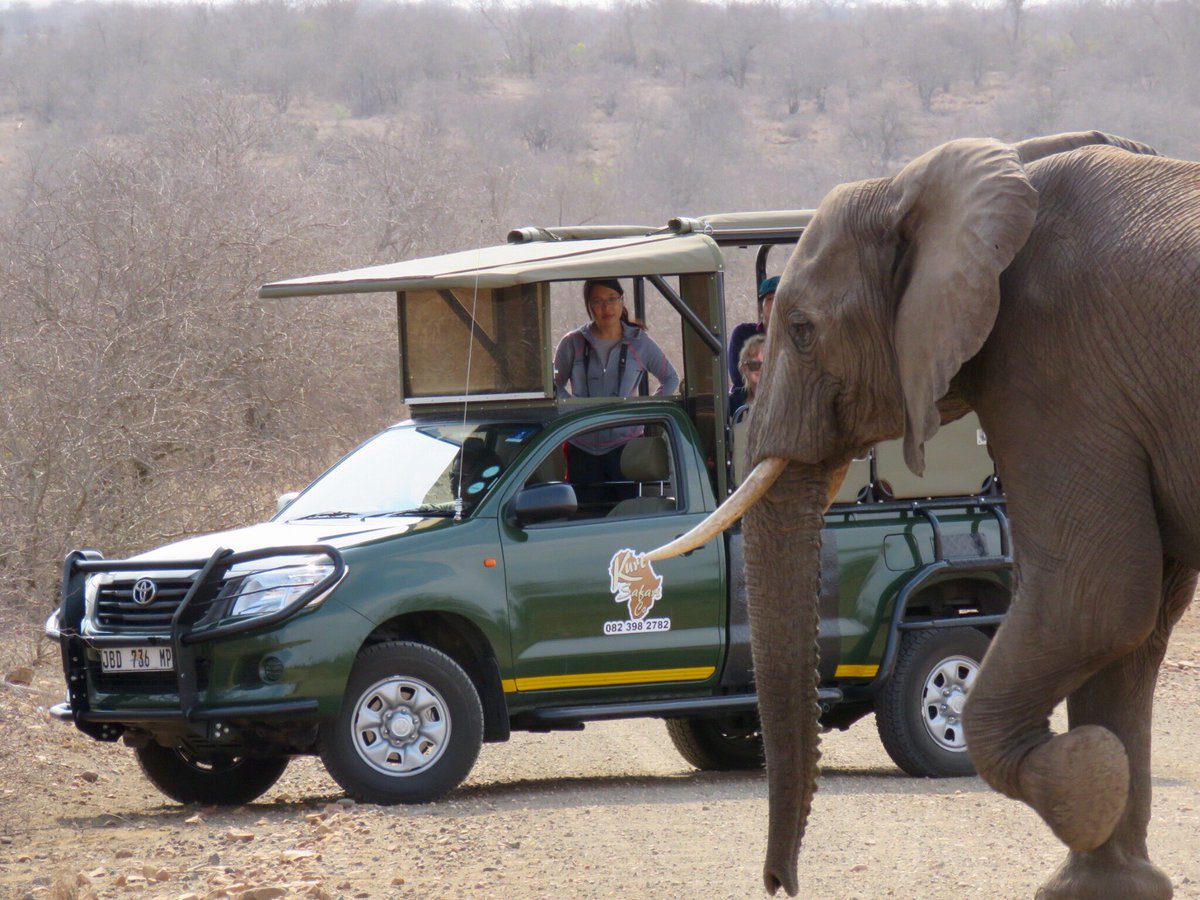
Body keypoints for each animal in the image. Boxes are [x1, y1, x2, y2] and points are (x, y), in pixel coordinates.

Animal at [646, 131, 1199, 898]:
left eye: (803, 330)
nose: (781, 882)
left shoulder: (1061, 371)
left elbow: (1096, 596)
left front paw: (1086, 776)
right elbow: (1130, 627)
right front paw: (1105, 872)